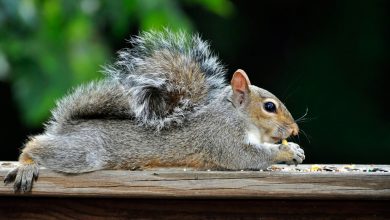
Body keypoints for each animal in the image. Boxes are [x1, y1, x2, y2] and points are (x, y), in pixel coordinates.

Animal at [3, 29, 304, 192]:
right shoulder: (221, 138)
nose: (294, 129)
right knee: (36, 145)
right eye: (269, 107)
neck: (235, 115)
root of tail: (69, 126)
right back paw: (26, 165)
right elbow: (244, 157)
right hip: (85, 151)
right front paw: (287, 151)